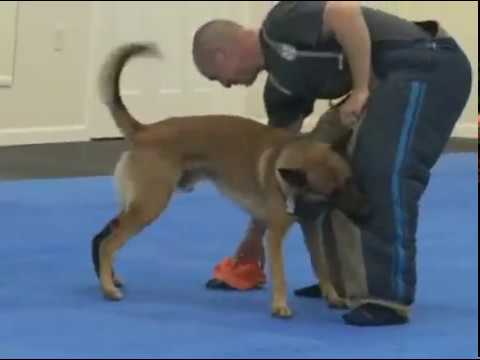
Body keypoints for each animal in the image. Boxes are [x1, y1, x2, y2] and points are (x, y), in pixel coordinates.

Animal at [91, 42, 368, 318]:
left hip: (139, 204)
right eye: (333, 192)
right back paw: (108, 288)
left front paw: (332, 296)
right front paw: (280, 305)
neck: (288, 161)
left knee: (105, 234)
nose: (365, 212)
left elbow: (320, 265)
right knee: (109, 243)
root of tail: (145, 131)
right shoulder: (275, 235)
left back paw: (111, 279)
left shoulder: (310, 229)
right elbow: (280, 273)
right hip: (149, 205)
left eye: (349, 181)